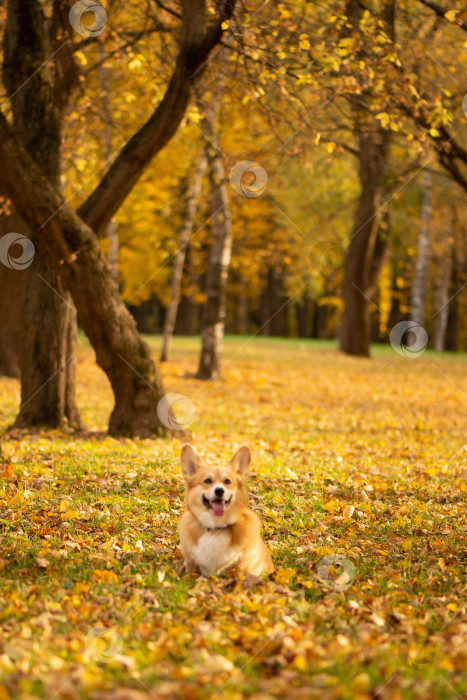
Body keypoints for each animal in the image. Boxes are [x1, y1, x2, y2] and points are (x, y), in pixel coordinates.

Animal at [179, 446, 274, 576]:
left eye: (227, 481)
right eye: (207, 481)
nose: (219, 490)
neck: (216, 528)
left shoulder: (242, 568)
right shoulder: (191, 564)